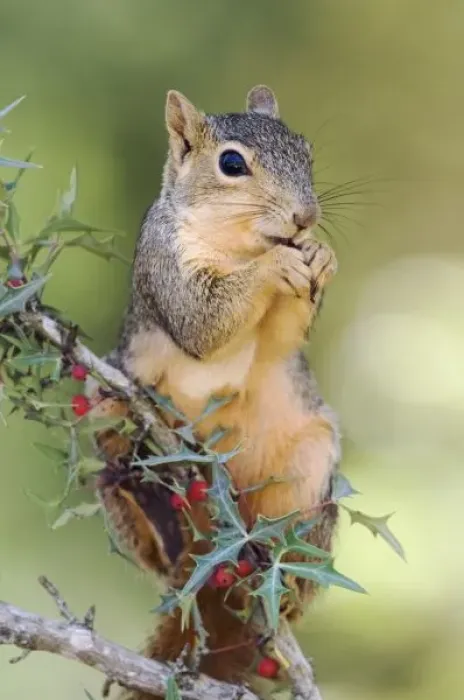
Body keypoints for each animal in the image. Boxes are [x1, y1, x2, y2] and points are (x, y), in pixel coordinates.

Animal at [93, 85, 340, 700]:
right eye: (231, 163)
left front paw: (320, 256)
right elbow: (203, 321)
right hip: (107, 414)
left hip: (310, 464)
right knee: (155, 550)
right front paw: (277, 263)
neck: (240, 244)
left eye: (306, 150)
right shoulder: (166, 265)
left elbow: (281, 338)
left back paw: (281, 576)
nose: (306, 217)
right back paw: (149, 504)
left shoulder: (280, 339)